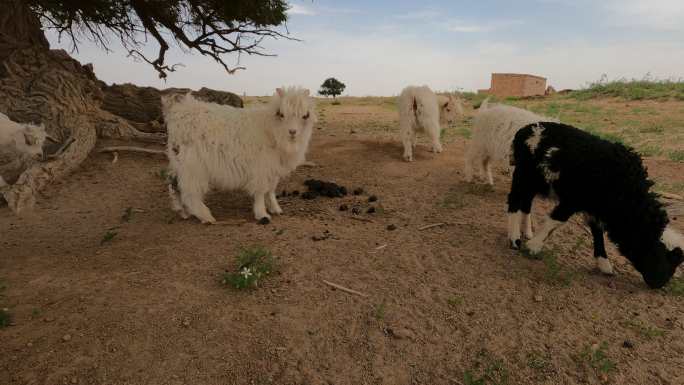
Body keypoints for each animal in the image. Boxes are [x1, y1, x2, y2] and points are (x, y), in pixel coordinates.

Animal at [164, 87, 316, 224]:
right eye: (281, 114)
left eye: (305, 115)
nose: (292, 132)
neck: (270, 129)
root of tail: (179, 112)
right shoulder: (261, 167)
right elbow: (261, 191)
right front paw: (262, 214)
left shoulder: (273, 169)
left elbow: (271, 190)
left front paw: (275, 208)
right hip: (193, 166)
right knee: (190, 192)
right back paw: (205, 216)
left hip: (179, 163)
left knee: (175, 186)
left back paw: (183, 212)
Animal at [508, 121, 684, 286]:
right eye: (666, 256)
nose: (660, 284)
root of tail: (525, 130)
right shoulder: (575, 199)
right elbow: (556, 220)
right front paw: (534, 246)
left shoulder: (596, 207)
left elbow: (597, 231)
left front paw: (604, 264)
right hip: (524, 174)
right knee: (514, 202)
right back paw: (514, 239)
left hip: (535, 182)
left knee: (525, 204)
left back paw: (527, 232)